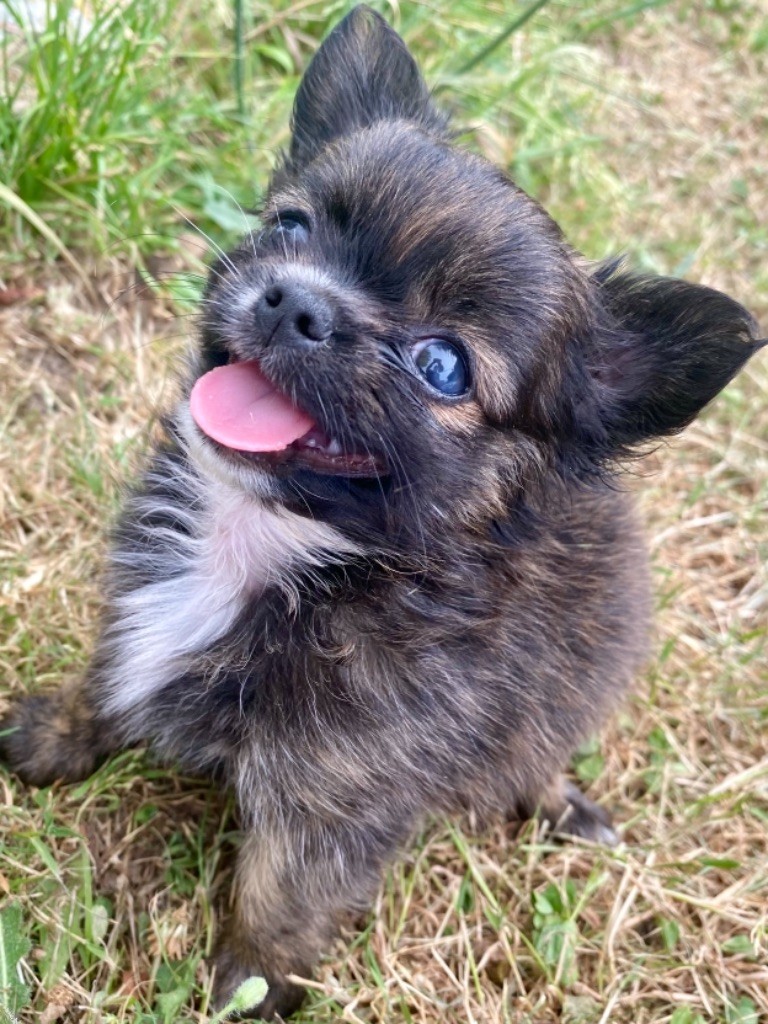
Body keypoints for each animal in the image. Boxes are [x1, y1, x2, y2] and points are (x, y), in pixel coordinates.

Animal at [3, 4, 765, 1019]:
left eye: (443, 366)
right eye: (290, 225)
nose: (296, 300)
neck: (274, 545)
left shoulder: (337, 799)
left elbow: (282, 896)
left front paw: (250, 984)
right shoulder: (137, 612)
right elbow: (105, 683)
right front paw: (54, 737)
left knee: (531, 756)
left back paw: (557, 800)